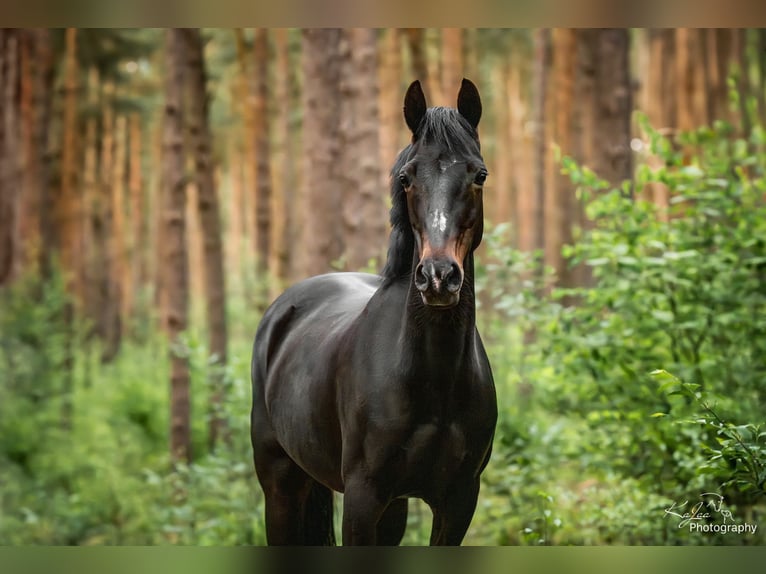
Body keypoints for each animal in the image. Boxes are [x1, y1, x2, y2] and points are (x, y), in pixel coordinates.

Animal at [251, 78, 497, 546]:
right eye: (406, 177)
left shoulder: (458, 501)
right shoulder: (363, 499)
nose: (438, 277)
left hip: (392, 509)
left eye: (479, 174)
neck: (432, 379)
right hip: (280, 485)